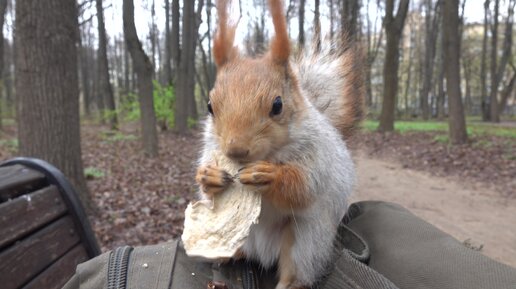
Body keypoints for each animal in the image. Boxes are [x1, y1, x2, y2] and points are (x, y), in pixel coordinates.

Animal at [195, 0, 366, 286]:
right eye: (209, 106)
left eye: (277, 105)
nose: (236, 150)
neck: (270, 153)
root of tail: (263, 252)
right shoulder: (212, 148)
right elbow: (206, 181)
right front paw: (210, 176)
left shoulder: (317, 154)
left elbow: (304, 186)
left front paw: (268, 176)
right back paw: (225, 255)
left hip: (305, 241)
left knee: (297, 270)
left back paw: (289, 283)